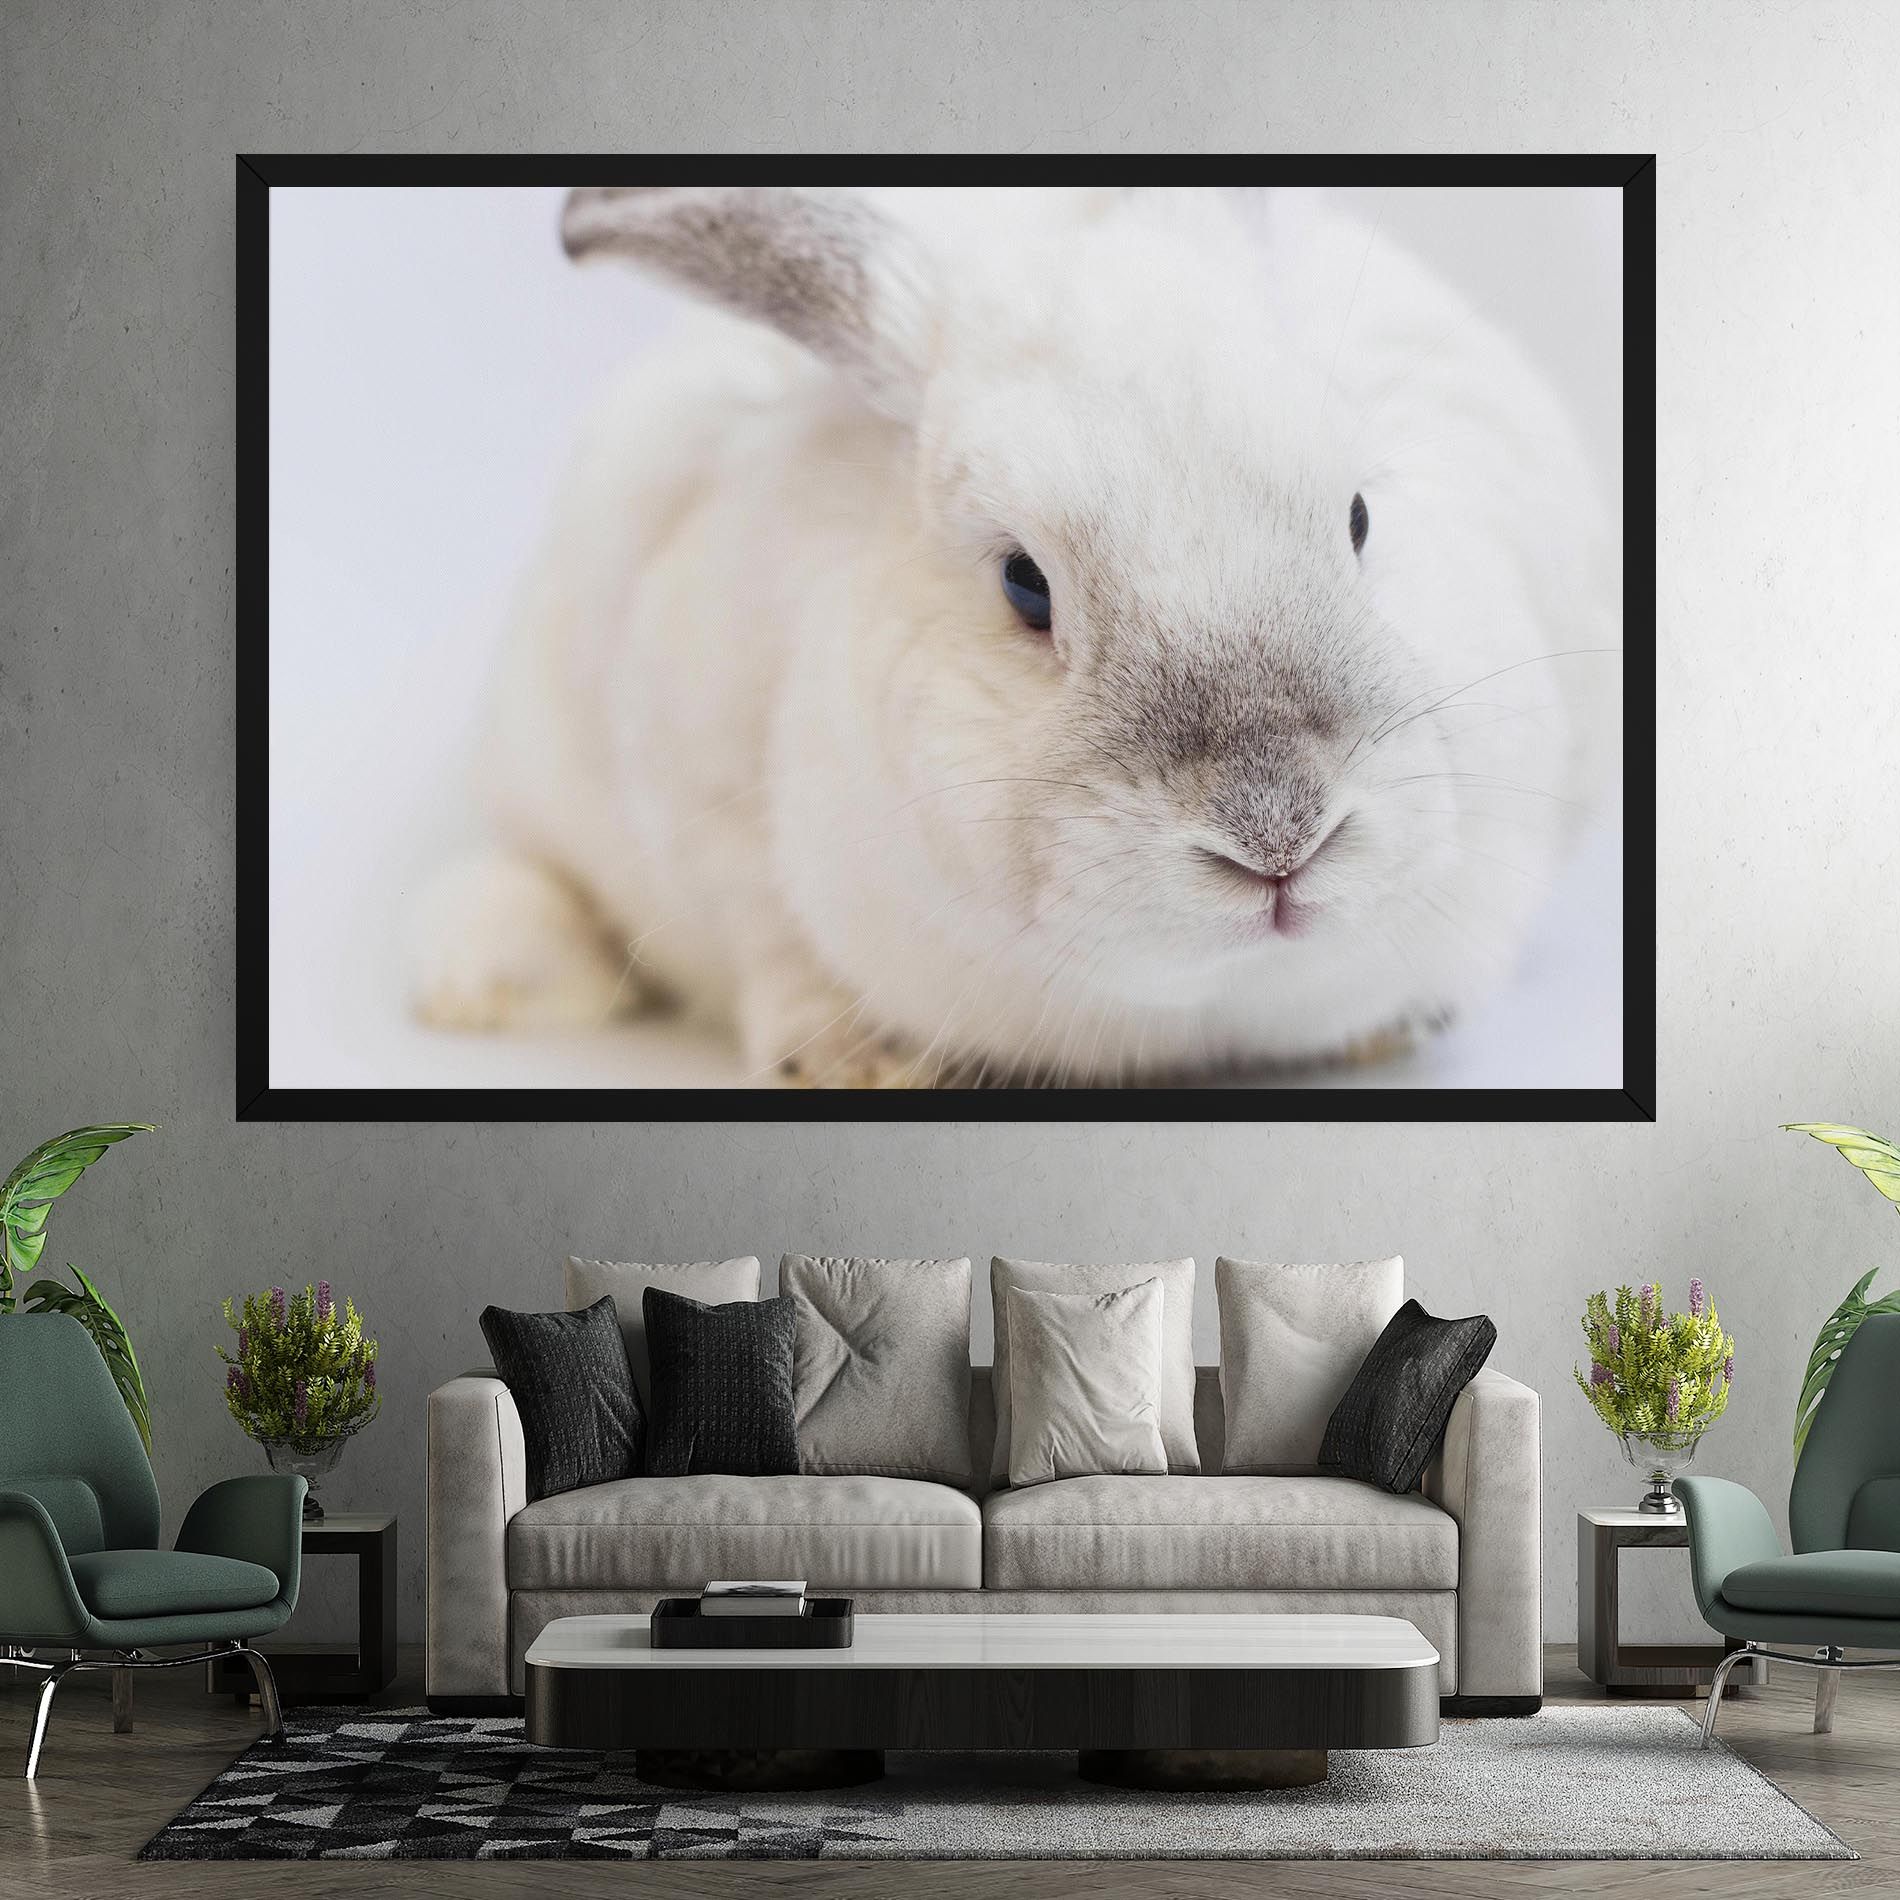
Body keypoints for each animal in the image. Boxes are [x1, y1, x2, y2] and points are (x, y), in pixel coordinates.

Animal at [409, 184, 1619, 1087]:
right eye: (1024, 584)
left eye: (1361, 516)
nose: (1278, 836)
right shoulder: (701, 796)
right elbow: (771, 942)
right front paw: (856, 1060)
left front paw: (1390, 1029)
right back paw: (482, 985)